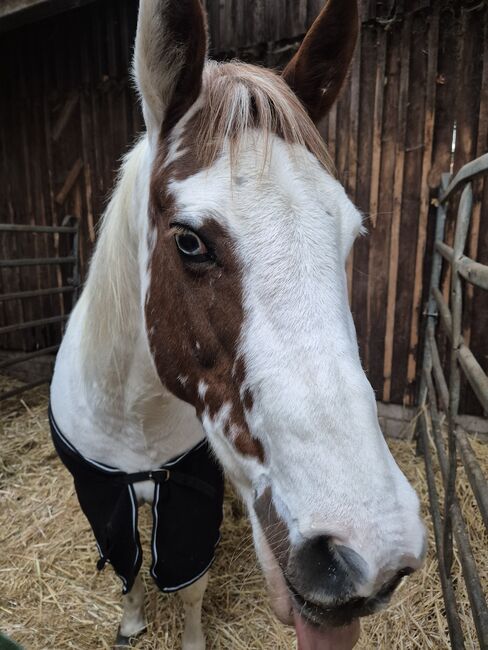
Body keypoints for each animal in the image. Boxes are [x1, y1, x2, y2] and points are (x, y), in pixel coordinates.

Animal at [50, 0, 426, 648]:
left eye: (351, 235)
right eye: (189, 241)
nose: (367, 553)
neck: (133, 418)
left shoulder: (189, 503)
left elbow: (190, 583)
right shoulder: (101, 496)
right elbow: (128, 568)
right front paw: (131, 622)